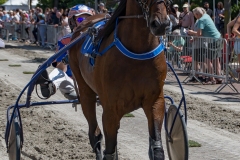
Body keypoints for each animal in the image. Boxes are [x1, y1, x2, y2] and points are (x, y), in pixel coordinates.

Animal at [68, 0, 172, 159]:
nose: (162, 24)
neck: (138, 49)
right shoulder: (111, 109)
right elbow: (109, 150)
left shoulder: (155, 101)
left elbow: (157, 149)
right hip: (85, 88)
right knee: (94, 133)